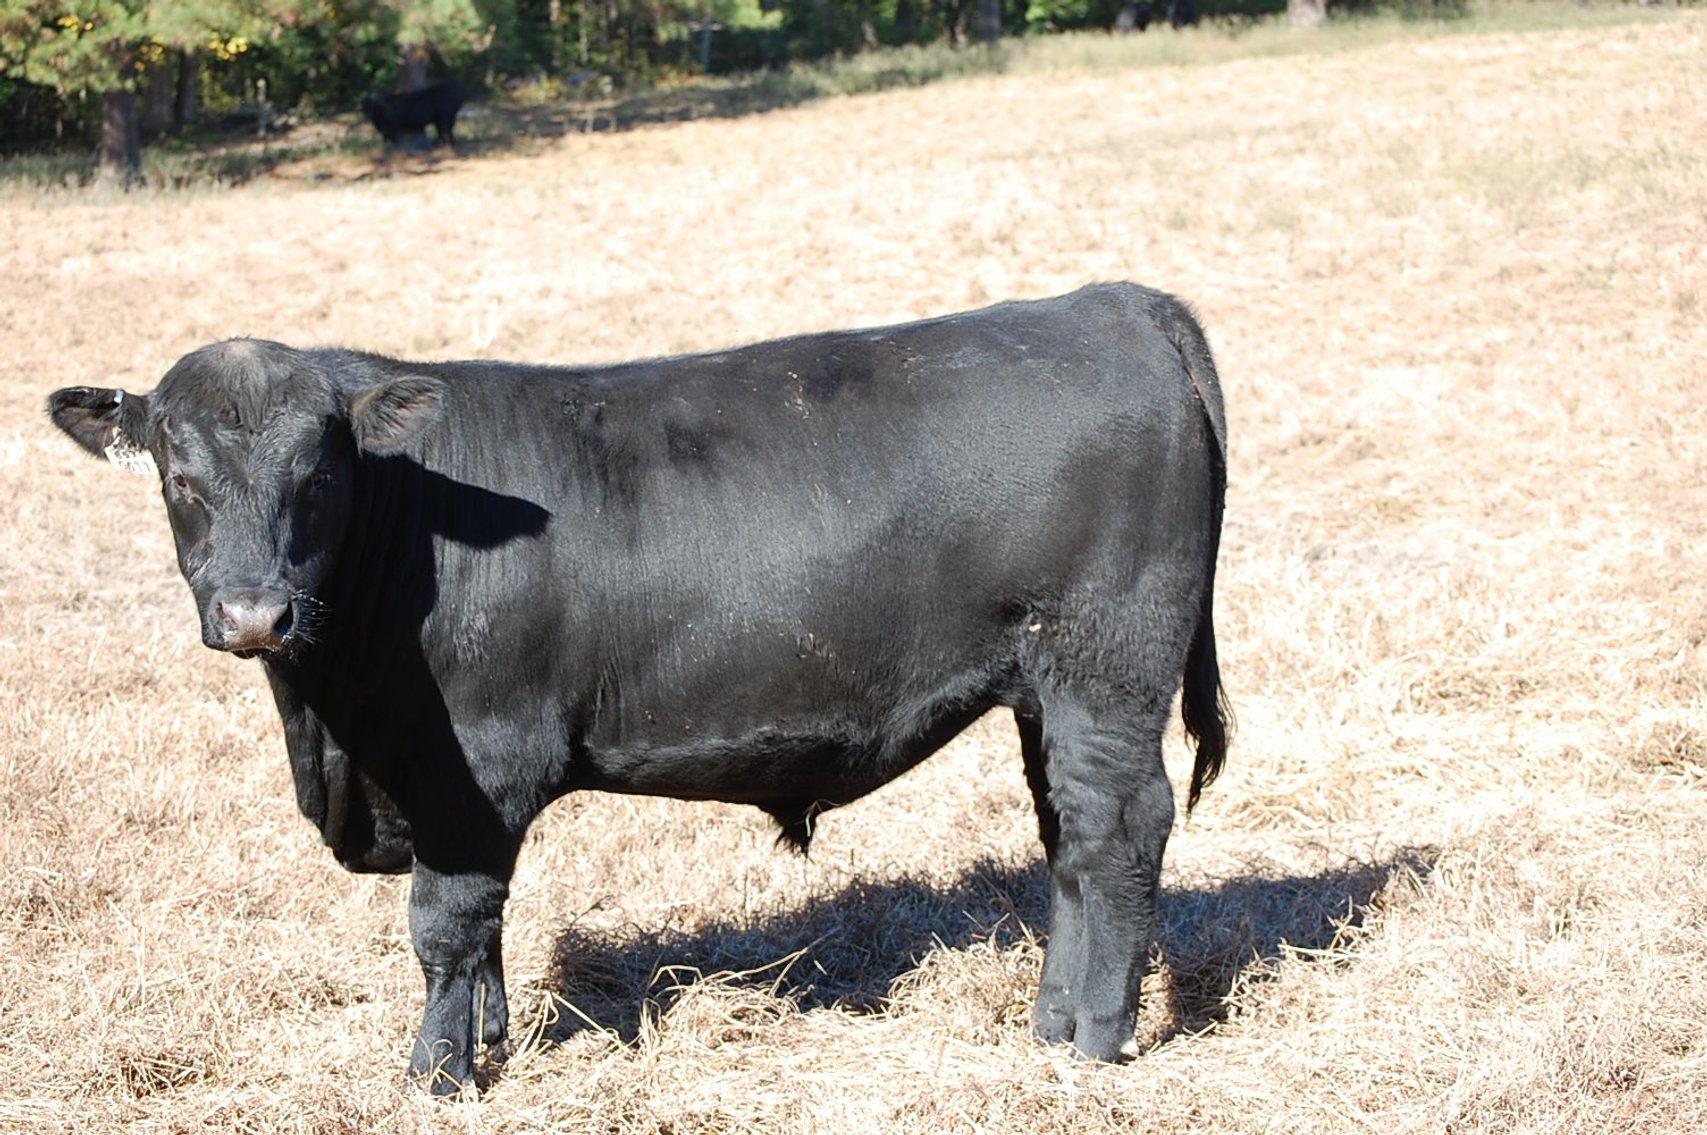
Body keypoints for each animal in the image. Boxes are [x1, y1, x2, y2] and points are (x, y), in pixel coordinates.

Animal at [47, 283, 1230, 1094]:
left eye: (320, 473)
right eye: (179, 475)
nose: (256, 613)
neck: (331, 733)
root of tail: (1109, 303)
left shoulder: (472, 766)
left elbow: (445, 925)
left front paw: (436, 1075)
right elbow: (488, 931)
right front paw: (489, 1041)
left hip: (1110, 668)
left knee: (1119, 832)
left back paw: (1098, 1040)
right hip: (1045, 690)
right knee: (1067, 838)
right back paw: (1049, 1021)